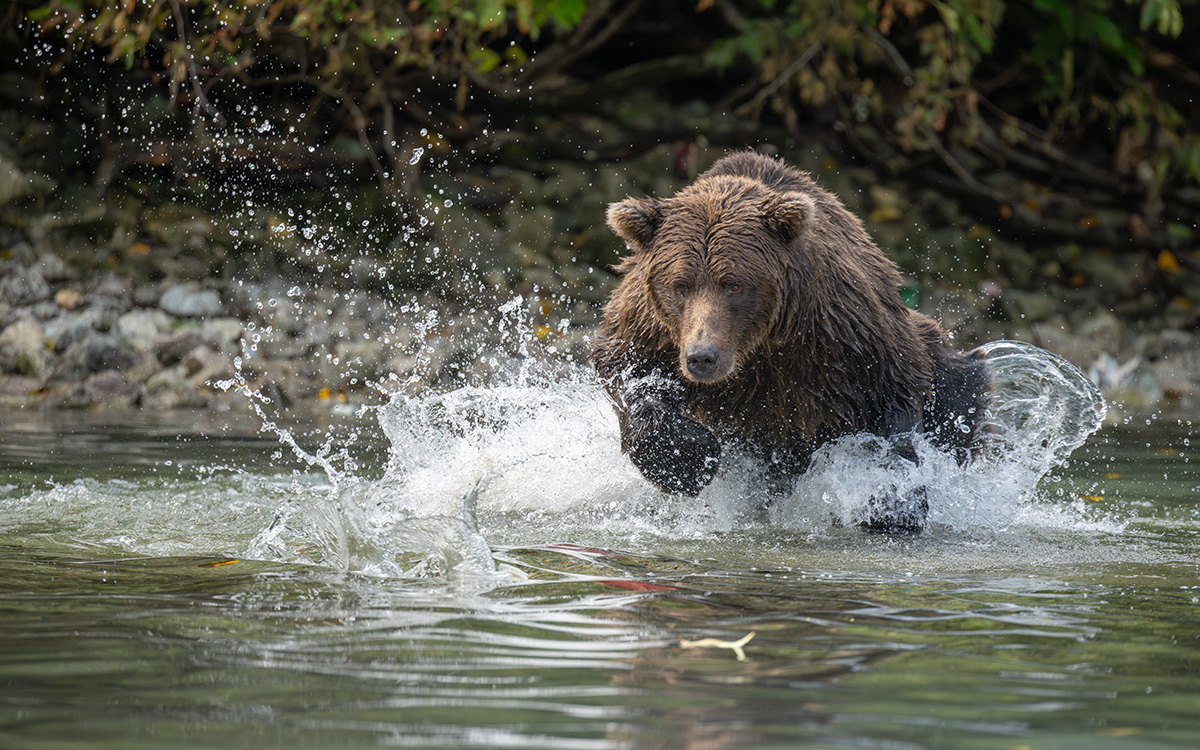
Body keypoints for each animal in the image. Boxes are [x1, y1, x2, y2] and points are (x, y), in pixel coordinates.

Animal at [592, 149, 993, 532]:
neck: (758, 348)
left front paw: (891, 503)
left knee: (960, 389)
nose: (702, 357)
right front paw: (688, 460)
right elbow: (624, 372)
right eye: (680, 285)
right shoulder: (651, 333)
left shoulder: (843, 340)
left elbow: (893, 401)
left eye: (733, 285)